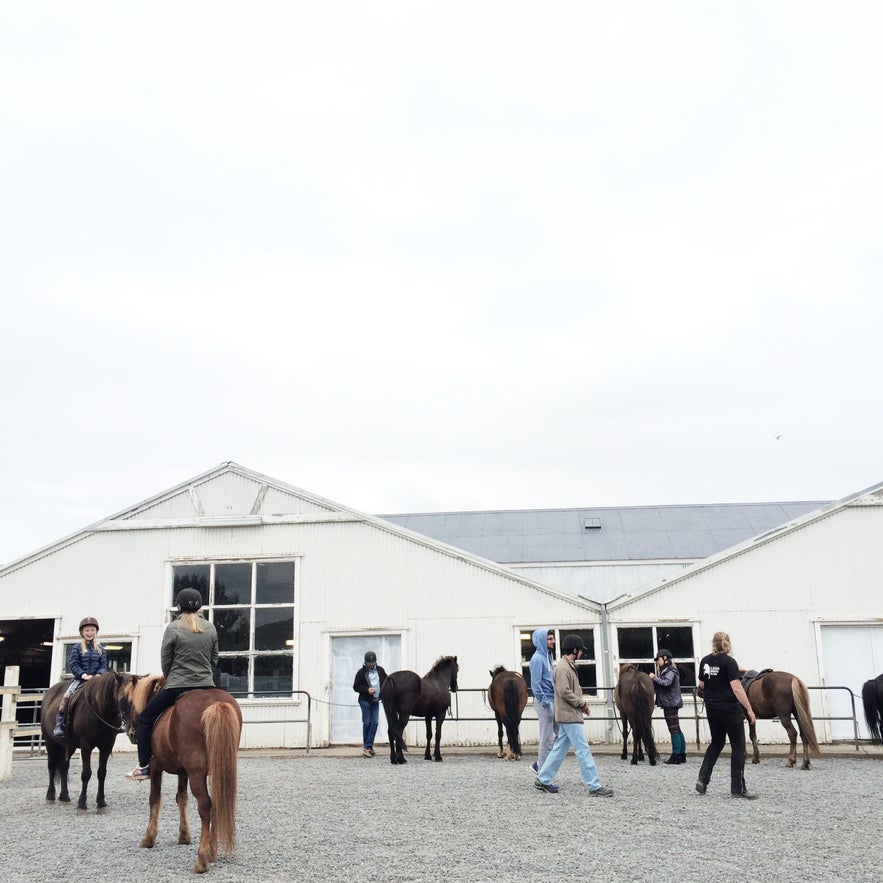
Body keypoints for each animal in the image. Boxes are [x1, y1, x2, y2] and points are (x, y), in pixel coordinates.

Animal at [40, 672, 141, 812]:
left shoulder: (107, 746)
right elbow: (86, 773)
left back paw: (64, 796)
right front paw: (82, 803)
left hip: (69, 746)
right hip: (50, 741)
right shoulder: (86, 745)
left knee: (64, 766)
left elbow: (102, 773)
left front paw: (101, 802)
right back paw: (50, 795)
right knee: (52, 765)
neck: (100, 709)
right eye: (123, 699)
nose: (133, 732)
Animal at [131, 676, 242, 876]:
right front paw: (184, 835)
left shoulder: (156, 767)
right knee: (216, 803)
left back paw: (202, 859)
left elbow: (154, 799)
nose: (130, 732)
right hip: (216, 770)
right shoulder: (183, 772)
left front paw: (149, 838)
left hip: (196, 773)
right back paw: (212, 851)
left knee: (205, 805)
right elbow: (181, 799)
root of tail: (215, 703)